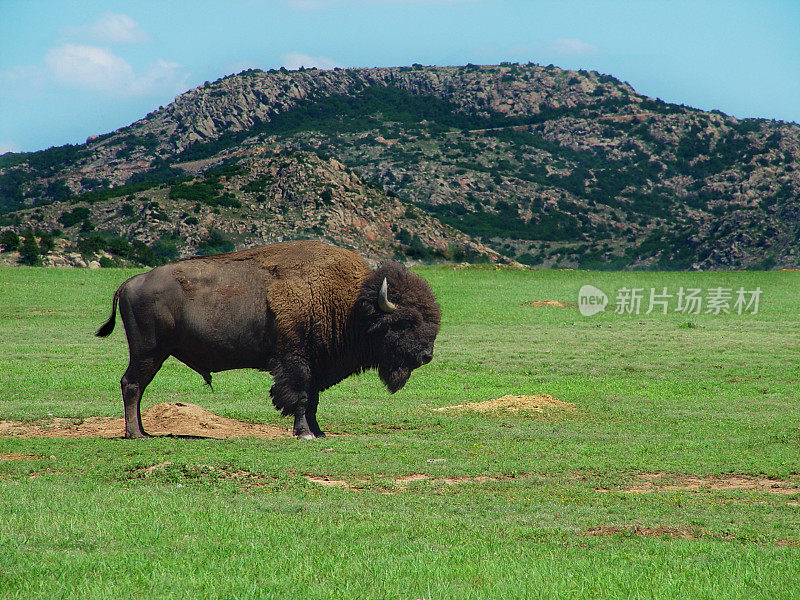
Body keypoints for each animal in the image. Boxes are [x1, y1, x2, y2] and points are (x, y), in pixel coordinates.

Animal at [98, 240, 444, 440]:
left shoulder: (316, 366)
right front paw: (304, 434)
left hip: (154, 353)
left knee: (137, 386)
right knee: (132, 384)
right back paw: (136, 435)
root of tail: (129, 282)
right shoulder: (295, 361)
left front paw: (318, 433)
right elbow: (300, 398)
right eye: (405, 322)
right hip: (149, 351)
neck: (351, 304)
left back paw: (144, 431)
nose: (425, 355)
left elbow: (313, 400)